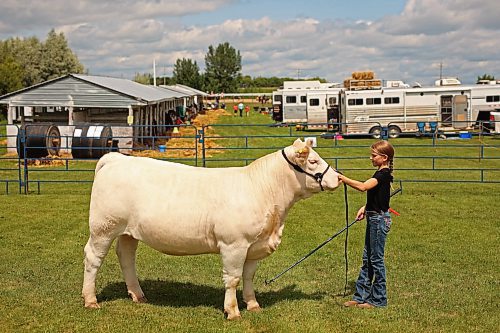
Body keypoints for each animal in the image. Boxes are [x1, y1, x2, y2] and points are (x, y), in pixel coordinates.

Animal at [82, 138, 340, 320]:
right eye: (313, 161)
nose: (338, 178)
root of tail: (117, 159)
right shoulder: (234, 244)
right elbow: (233, 278)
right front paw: (232, 311)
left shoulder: (254, 245)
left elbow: (248, 276)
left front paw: (253, 304)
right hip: (103, 227)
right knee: (93, 259)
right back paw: (90, 299)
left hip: (128, 231)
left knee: (126, 257)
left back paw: (138, 295)